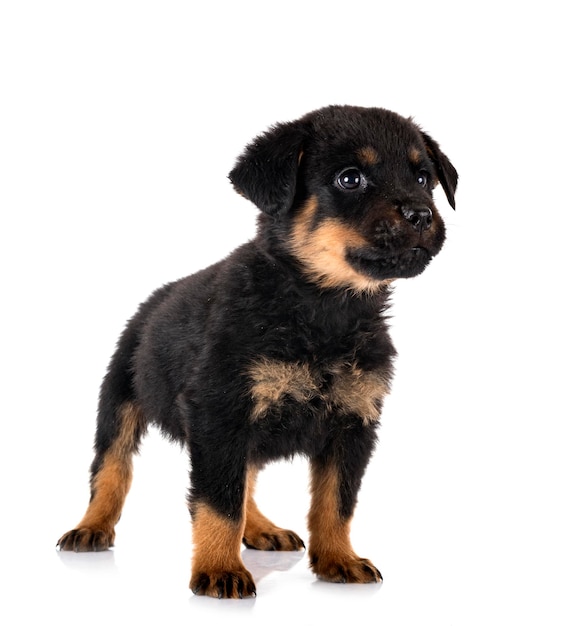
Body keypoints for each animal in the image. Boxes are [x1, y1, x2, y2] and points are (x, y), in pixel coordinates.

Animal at [57, 105, 458, 596]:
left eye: (423, 179)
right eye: (350, 179)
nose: (420, 214)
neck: (323, 311)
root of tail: (154, 300)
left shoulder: (354, 422)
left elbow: (336, 503)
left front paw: (338, 558)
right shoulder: (219, 412)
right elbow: (219, 502)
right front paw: (218, 569)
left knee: (244, 479)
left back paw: (261, 528)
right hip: (119, 396)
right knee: (111, 468)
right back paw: (91, 526)